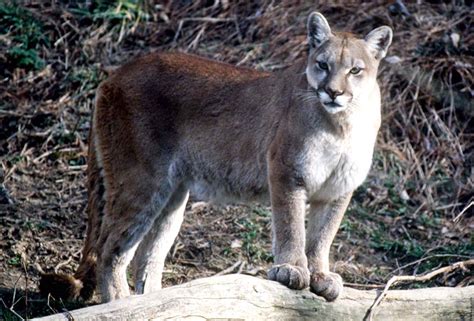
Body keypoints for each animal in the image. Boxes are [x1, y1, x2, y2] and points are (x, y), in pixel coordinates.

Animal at [39, 11, 392, 302]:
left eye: (355, 70)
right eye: (322, 65)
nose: (333, 92)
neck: (341, 124)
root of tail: (115, 74)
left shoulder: (338, 190)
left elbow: (322, 236)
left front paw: (320, 275)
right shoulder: (287, 172)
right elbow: (292, 225)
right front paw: (292, 269)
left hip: (172, 195)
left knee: (147, 256)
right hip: (141, 180)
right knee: (110, 249)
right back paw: (123, 305)